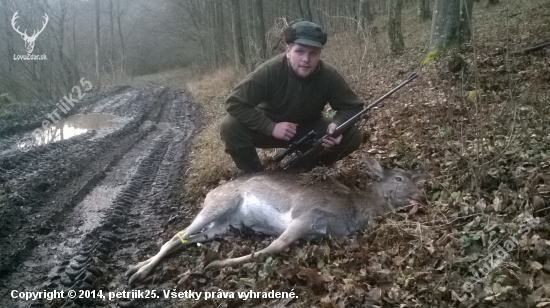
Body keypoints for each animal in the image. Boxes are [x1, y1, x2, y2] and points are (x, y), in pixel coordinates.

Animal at [127, 158, 430, 286]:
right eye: (399, 178)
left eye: (415, 178)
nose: (421, 195)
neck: (352, 211)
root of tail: (210, 191)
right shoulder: (307, 215)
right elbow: (275, 247)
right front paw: (215, 265)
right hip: (217, 205)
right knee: (175, 236)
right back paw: (139, 273)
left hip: (223, 226)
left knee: (185, 239)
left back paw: (135, 266)